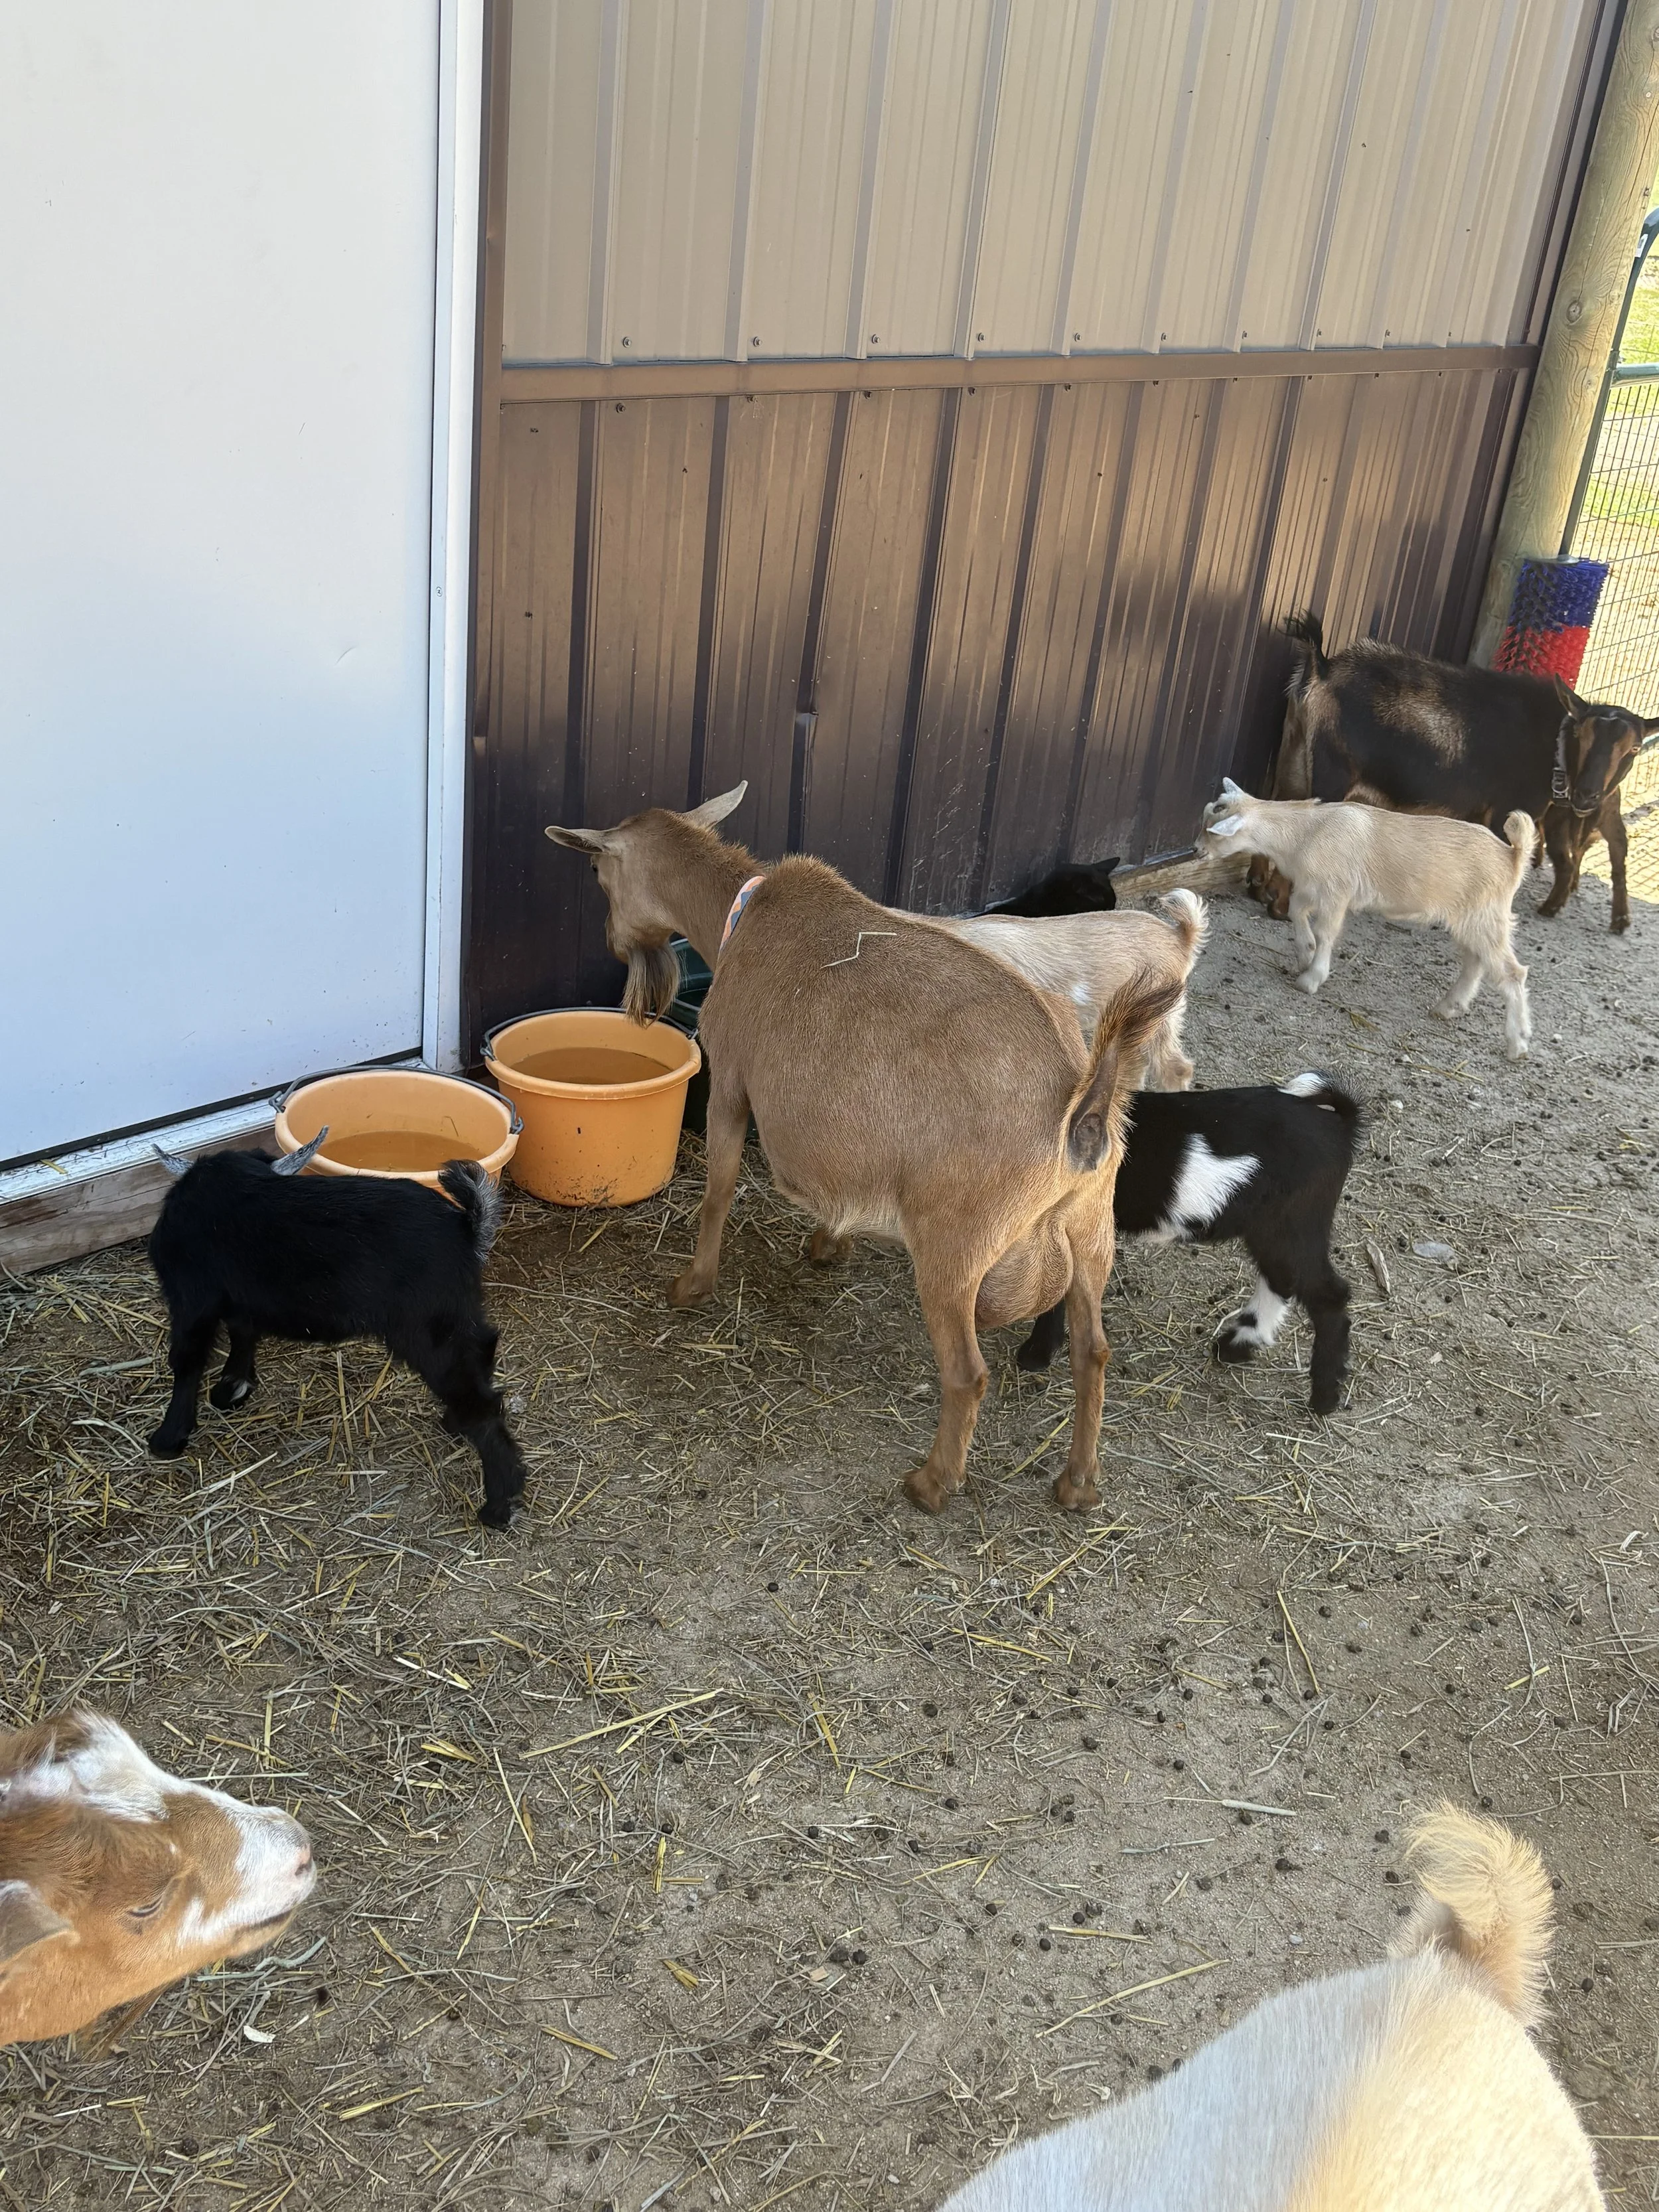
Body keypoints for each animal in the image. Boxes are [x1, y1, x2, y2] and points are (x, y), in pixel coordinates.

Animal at [146, 1139, 527, 1527]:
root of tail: (466, 1225)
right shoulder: (240, 1299)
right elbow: (243, 1333)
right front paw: (232, 1389)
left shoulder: (191, 1299)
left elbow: (187, 1358)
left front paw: (168, 1437)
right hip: (458, 1317)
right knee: (482, 1358)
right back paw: (456, 1424)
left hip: (431, 1332)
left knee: (481, 1403)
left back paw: (499, 1505)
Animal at [547, 788, 1180, 1515]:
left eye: (598, 872)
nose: (613, 939)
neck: (739, 913)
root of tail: (1080, 1106)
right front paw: (828, 1244)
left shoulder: (731, 1077)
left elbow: (718, 1191)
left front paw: (691, 1285)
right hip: (1091, 1225)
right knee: (1092, 1351)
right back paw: (1077, 1483)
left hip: (957, 1245)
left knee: (968, 1373)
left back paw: (932, 1483)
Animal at [1017, 1073, 1359, 1415]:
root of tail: (1339, 1124)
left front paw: (1036, 1353)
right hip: (1274, 1231)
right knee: (1282, 1281)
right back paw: (1237, 1345)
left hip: (1294, 1225)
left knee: (1328, 1294)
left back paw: (1324, 1397)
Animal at [1203, 780, 1534, 1059]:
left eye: (1213, 831)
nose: (1196, 850)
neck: (1306, 831)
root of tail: (1512, 856)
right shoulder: (1311, 887)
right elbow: (1297, 912)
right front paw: (1305, 954)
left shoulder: (1336, 892)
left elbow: (1326, 932)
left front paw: (1311, 978)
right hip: (1470, 919)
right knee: (1475, 961)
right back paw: (1450, 1007)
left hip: (1486, 917)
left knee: (1512, 973)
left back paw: (1517, 1044)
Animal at [1258, 611, 1652, 933]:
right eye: (1583, 734)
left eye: (1634, 748)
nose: (1588, 795)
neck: (1550, 737)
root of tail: (1322, 669)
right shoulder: (1506, 814)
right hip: (1332, 773)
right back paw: (1283, 906)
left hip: (1293, 758)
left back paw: (1263, 891)